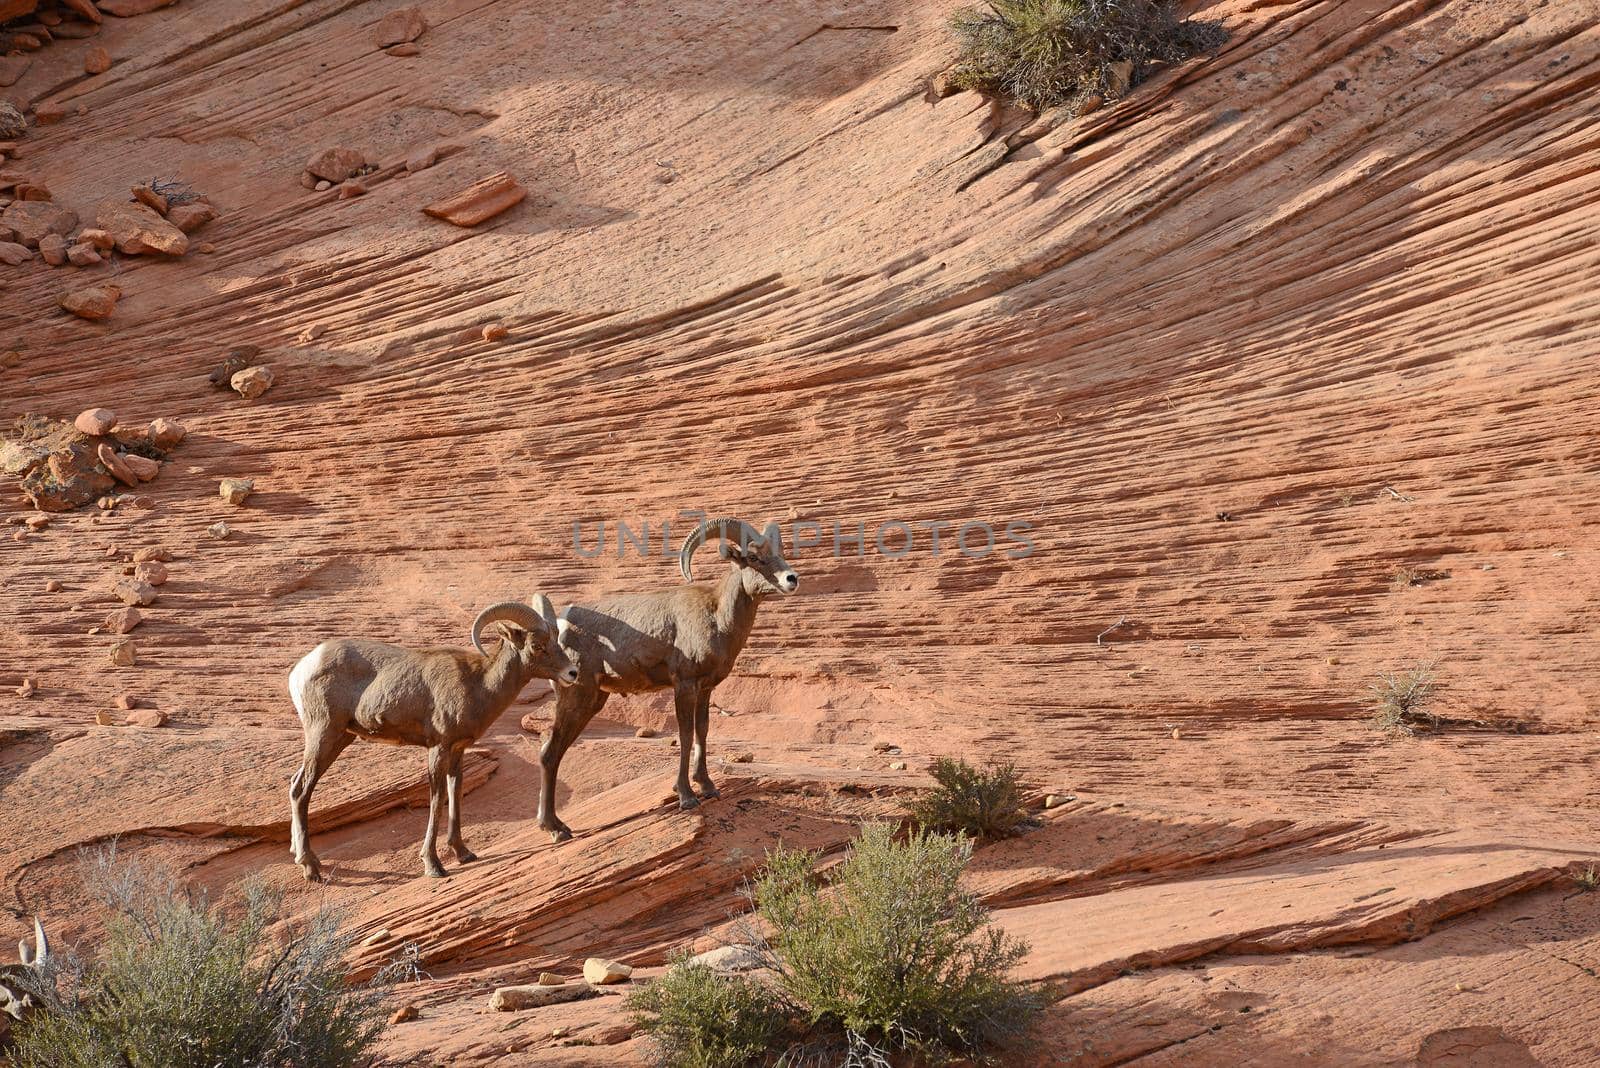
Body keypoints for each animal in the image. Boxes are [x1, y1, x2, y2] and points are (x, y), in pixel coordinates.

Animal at [284, 597, 579, 882]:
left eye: (556, 639)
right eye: (537, 645)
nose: (572, 673)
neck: (478, 684)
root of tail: (300, 670)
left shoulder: (458, 750)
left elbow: (455, 794)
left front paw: (463, 853)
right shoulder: (438, 748)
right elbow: (437, 799)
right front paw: (433, 865)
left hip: (340, 738)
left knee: (296, 784)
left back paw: (298, 855)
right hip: (324, 734)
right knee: (301, 789)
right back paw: (310, 868)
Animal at [534, 518, 800, 844]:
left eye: (780, 553)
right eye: (753, 558)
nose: (791, 579)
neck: (717, 617)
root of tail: (560, 627)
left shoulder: (705, 689)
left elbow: (702, 731)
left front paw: (708, 787)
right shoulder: (684, 685)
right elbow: (685, 735)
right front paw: (687, 796)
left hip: (593, 699)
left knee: (556, 751)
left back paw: (558, 826)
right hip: (577, 697)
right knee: (549, 752)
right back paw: (555, 829)